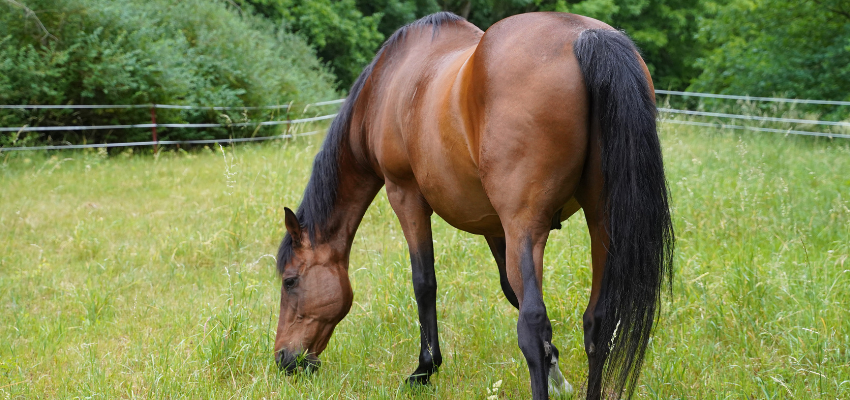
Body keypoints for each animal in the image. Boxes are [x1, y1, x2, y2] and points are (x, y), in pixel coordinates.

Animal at [274, 10, 672, 398]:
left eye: (290, 281)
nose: (284, 360)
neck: (385, 88)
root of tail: (585, 37)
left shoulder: (405, 196)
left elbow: (424, 282)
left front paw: (424, 369)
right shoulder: (494, 226)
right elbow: (511, 291)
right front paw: (557, 375)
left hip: (526, 226)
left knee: (532, 323)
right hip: (601, 221)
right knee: (598, 321)